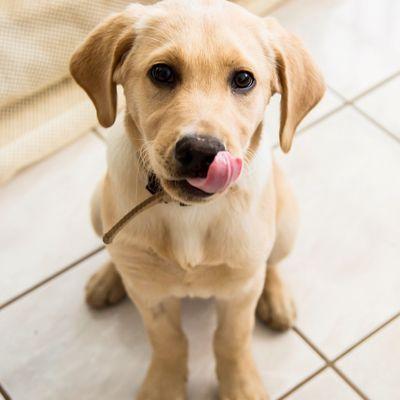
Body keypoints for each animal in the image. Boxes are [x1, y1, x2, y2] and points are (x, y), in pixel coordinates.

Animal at [70, 0, 324, 400]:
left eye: (243, 79)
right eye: (161, 73)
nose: (200, 151)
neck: (187, 213)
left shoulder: (238, 293)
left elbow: (232, 340)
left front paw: (240, 386)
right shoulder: (153, 298)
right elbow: (167, 340)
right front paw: (164, 386)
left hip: (286, 224)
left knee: (270, 263)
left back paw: (276, 297)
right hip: (98, 207)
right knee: (119, 254)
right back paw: (110, 278)